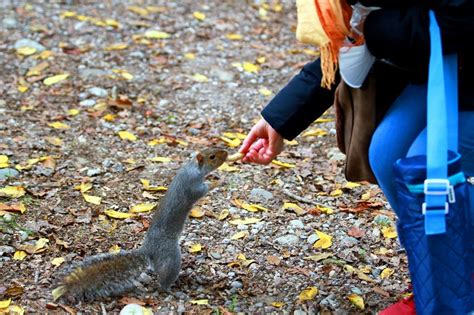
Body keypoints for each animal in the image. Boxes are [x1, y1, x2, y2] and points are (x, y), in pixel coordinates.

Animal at [52, 149, 229, 302]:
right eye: (212, 157)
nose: (226, 153)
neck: (194, 167)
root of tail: (148, 250)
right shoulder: (192, 185)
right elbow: (202, 191)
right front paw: (220, 181)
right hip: (171, 256)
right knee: (164, 282)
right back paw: (172, 291)